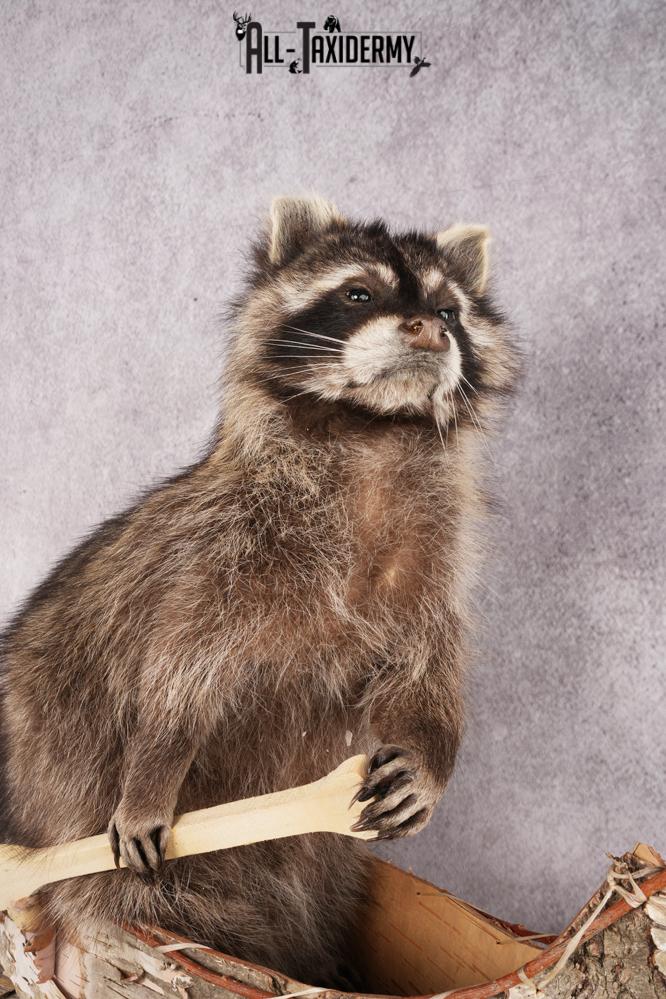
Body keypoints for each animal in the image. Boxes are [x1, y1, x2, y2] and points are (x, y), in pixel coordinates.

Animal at [0, 196, 518, 985]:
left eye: (447, 309)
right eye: (358, 294)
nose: (429, 329)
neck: (372, 433)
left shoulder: (431, 569)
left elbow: (426, 670)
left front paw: (432, 756)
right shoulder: (220, 549)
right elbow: (179, 667)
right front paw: (155, 765)